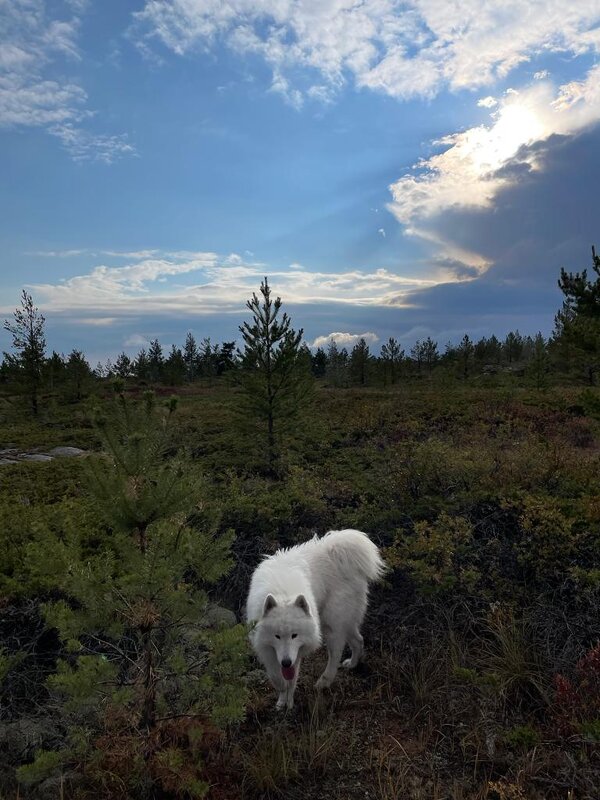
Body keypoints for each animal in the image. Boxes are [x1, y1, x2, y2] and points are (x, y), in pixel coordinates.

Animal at [245, 532, 382, 708]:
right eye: (277, 636)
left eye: (294, 635)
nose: (286, 662)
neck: (283, 595)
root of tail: (336, 550)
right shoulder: (267, 650)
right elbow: (277, 679)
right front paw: (282, 701)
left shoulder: (297, 649)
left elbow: (291, 679)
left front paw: (289, 704)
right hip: (344, 622)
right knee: (358, 640)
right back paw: (352, 664)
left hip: (332, 625)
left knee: (335, 654)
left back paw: (324, 681)